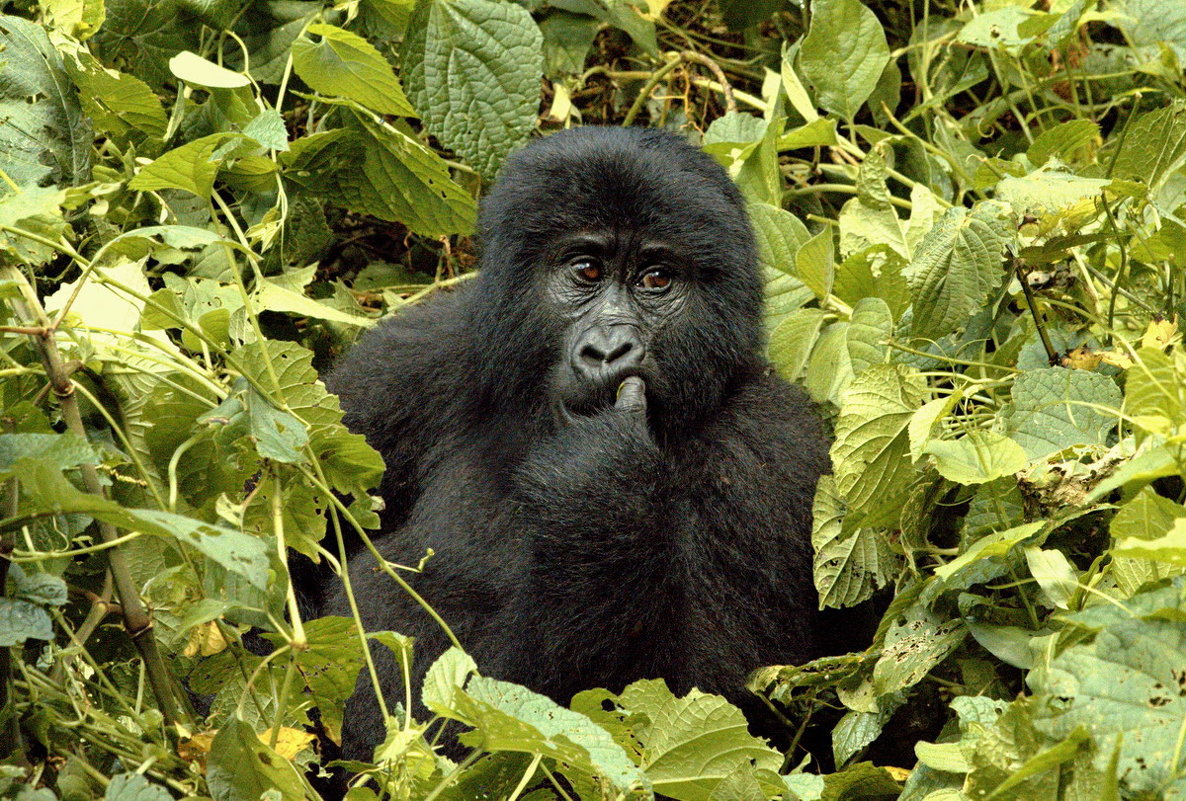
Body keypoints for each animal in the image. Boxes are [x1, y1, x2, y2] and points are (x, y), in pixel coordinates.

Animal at [320, 126, 830, 764]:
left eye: (655, 279)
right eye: (586, 270)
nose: (608, 349)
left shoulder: (771, 449)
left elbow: (713, 709)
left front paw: (602, 488)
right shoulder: (400, 367)